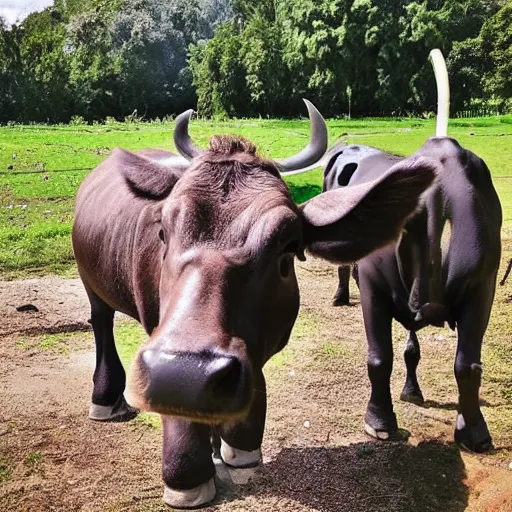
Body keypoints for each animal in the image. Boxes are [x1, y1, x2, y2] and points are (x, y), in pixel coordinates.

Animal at [72, 101, 438, 508]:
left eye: (287, 248)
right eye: (163, 232)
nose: (185, 374)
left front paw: (237, 445)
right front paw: (188, 475)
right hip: (91, 283)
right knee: (101, 321)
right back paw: (107, 399)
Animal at [320, 51, 500, 452]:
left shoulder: (483, 284)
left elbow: (467, 365)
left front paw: (473, 431)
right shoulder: (374, 285)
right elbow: (379, 358)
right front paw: (380, 422)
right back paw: (339, 296)